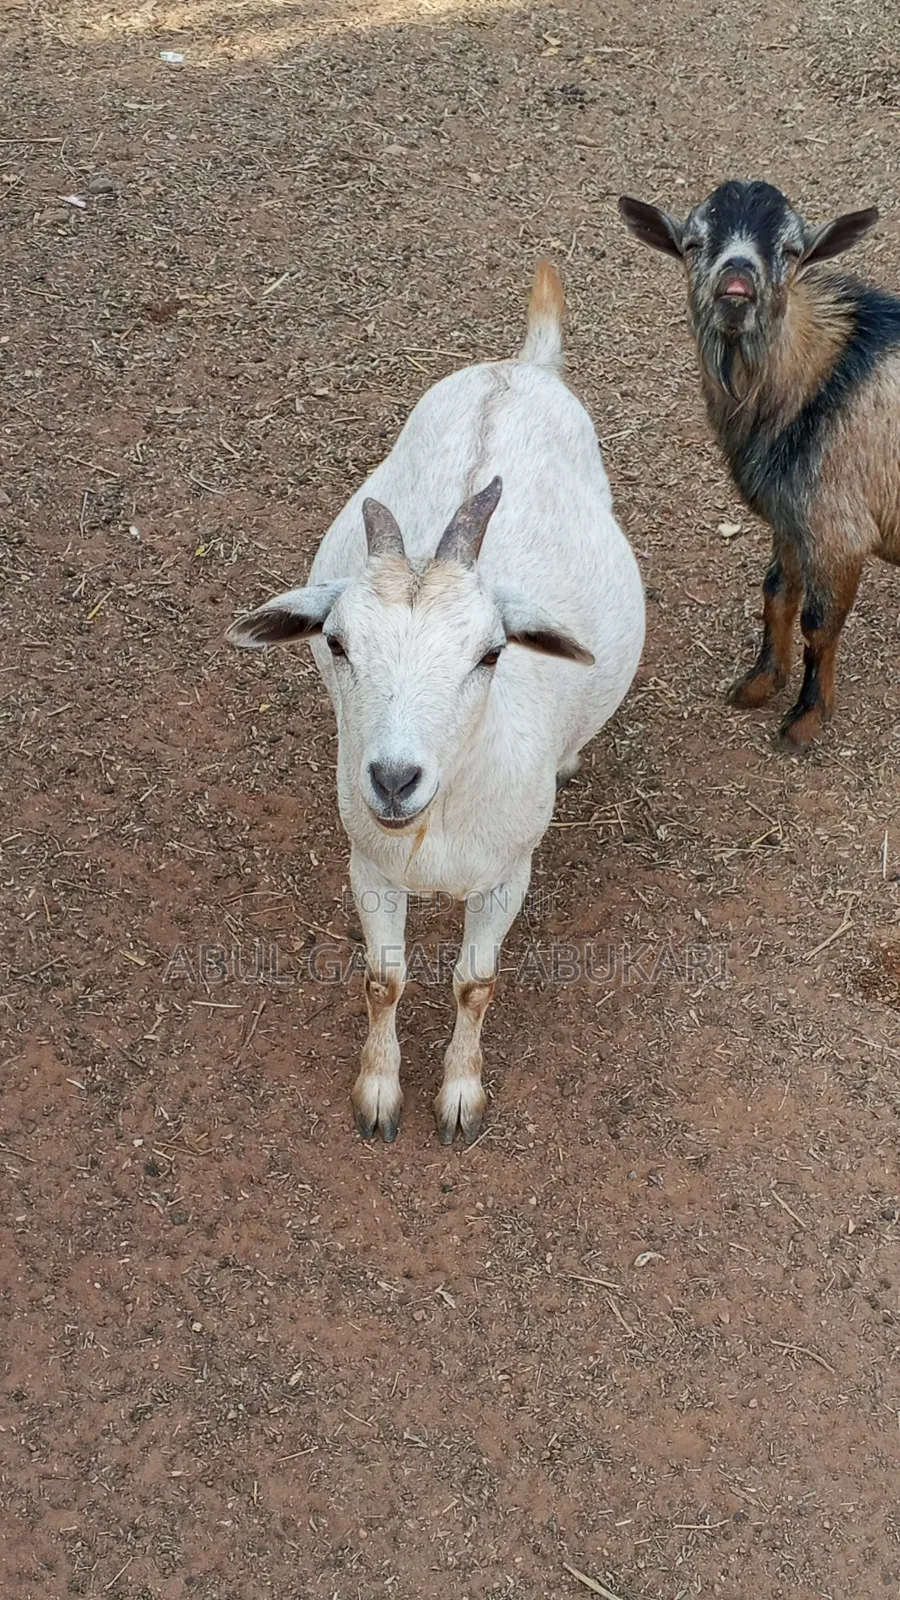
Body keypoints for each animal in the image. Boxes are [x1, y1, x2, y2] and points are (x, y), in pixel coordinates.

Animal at [227, 260, 645, 1143]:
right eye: (337, 643)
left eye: (491, 652)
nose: (392, 779)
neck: (439, 826)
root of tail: (520, 368)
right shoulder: (370, 865)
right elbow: (384, 979)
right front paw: (379, 1093)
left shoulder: (507, 875)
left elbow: (474, 983)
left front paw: (459, 1096)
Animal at [619, 180, 897, 747]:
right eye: (692, 243)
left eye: (792, 250)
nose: (737, 286)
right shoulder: (790, 518)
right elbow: (776, 593)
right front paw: (758, 683)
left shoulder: (837, 531)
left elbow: (820, 623)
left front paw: (805, 719)